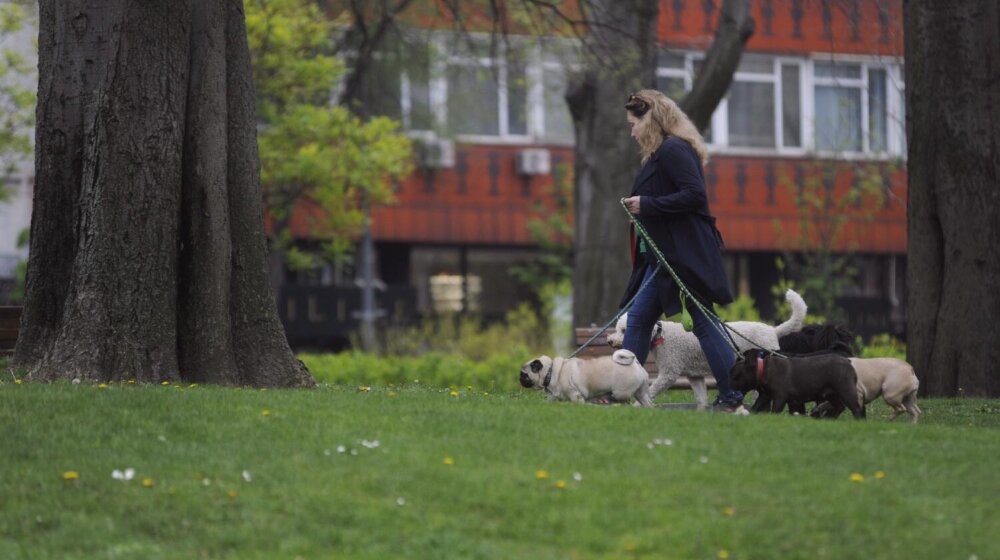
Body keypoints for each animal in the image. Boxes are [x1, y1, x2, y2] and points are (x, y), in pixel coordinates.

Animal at [516, 350, 656, 406]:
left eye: (523, 375)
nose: (519, 379)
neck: (551, 371)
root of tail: (636, 363)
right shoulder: (552, 396)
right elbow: (548, 401)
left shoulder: (575, 395)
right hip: (642, 393)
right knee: (648, 403)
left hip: (620, 392)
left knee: (624, 399)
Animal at [604, 290, 808, 410]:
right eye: (617, 329)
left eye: (624, 330)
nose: (610, 340)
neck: (661, 335)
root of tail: (773, 330)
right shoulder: (694, 376)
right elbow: (701, 399)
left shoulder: (670, 372)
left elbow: (652, 389)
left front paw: (638, 405)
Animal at [732, 348, 864, 418]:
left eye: (735, 376)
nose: (729, 381)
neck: (762, 368)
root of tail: (848, 361)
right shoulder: (765, 395)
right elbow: (757, 405)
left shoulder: (779, 397)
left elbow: (775, 409)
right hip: (831, 394)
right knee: (839, 406)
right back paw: (829, 418)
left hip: (846, 391)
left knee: (856, 408)